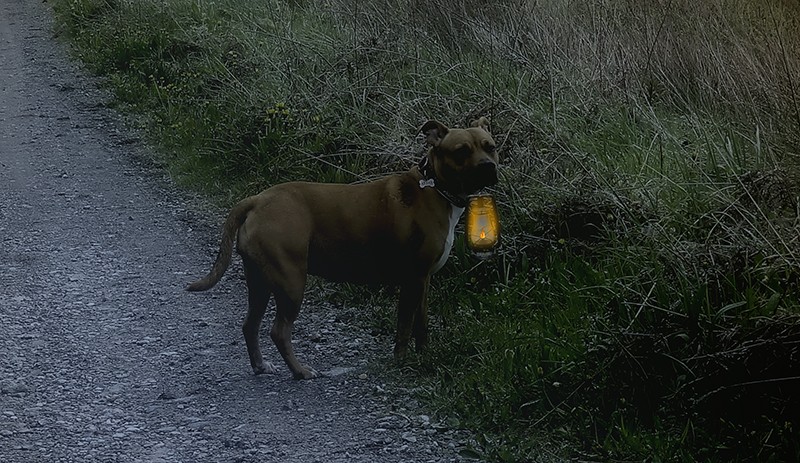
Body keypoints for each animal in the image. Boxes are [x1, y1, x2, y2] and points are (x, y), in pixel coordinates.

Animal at [189, 118, 500, 380]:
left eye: (490, 147)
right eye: (461, 151)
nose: (488, 166)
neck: (434, 186)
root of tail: (257, 200)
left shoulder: (424, 280)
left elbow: (421, 324)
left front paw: (425, 355)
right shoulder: (412, 279)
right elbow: (404, 327)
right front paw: (401, 361)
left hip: (260, 282)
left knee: (250, 325)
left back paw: (261, 365)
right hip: (290, 282)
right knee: (279, 331)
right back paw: (300, 371)